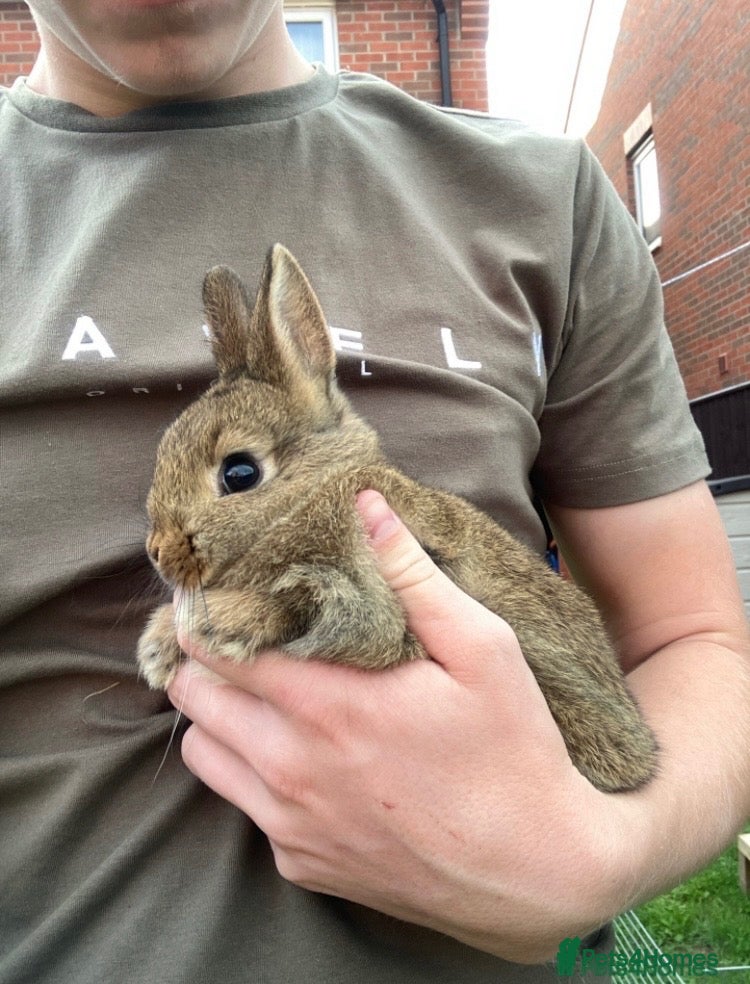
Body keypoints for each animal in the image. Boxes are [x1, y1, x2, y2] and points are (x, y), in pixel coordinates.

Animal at [137, 243, 658, 793]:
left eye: (239, 473)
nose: (158, 552)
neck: (313, 494)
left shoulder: (364, 597)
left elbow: (317, 606)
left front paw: (210, 625)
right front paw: (160, 645)